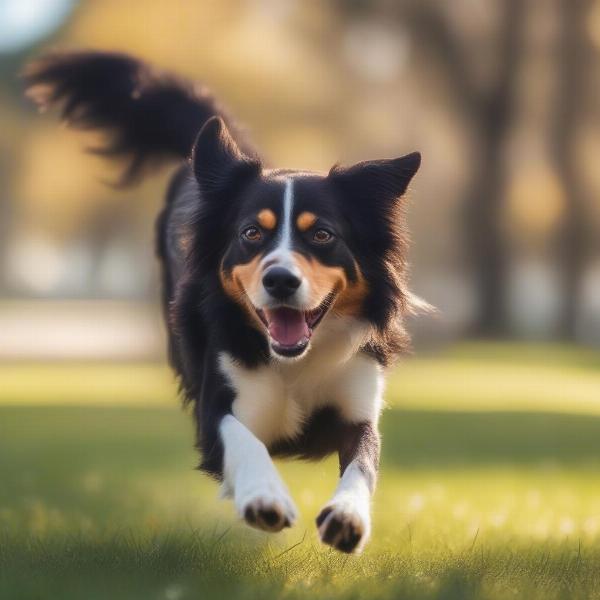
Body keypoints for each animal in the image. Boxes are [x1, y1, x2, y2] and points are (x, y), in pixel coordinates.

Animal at [25, 50, 424, 552]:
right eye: (251, 232)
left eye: (322, 235)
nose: (279, 280)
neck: (294, 361)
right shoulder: (217, 405)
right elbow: (242, 439)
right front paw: (264, 496)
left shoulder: (357, 405)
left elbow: (363, 463)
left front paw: (348, 516)